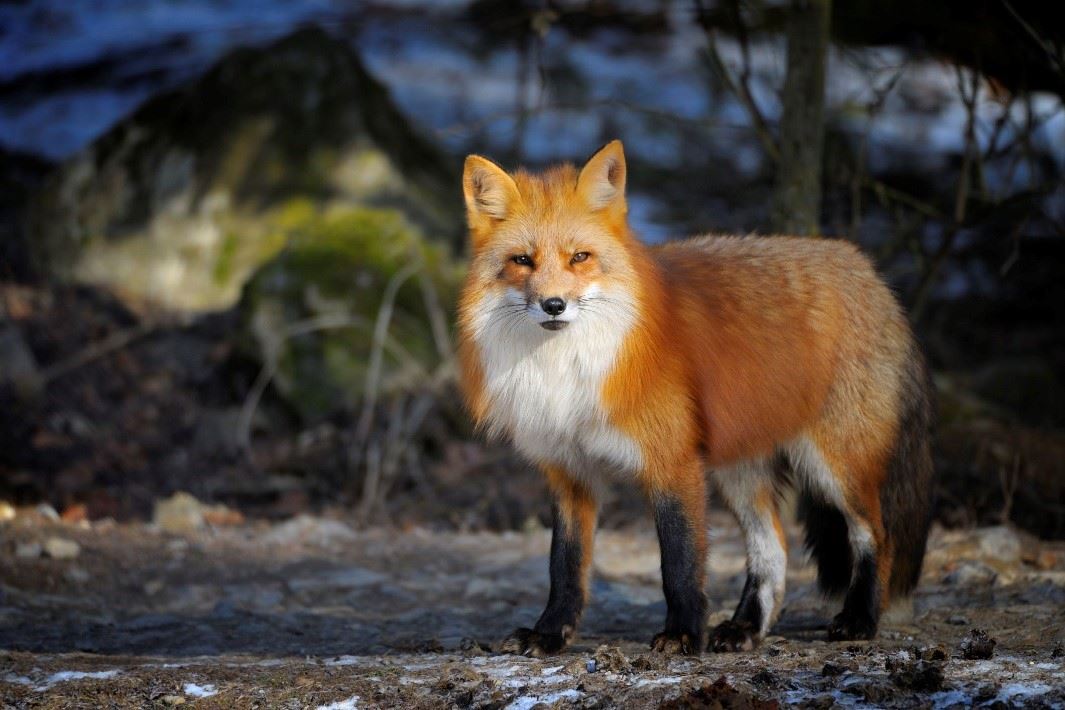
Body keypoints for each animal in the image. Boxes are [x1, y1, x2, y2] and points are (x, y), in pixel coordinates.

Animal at [456, 140, 935, 656]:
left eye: (579, 257)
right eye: (522, 261)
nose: (553, 305)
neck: (569, 370)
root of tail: (867, 269)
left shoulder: (674, 462)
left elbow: (679, 562)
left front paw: (683, 632)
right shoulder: (570, 472)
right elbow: (564, 565)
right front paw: (549, 633)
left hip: (836, 464)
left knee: (875, 535)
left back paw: (860, 618)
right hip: (740, 469)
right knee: (774, 550)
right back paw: (745, 627)